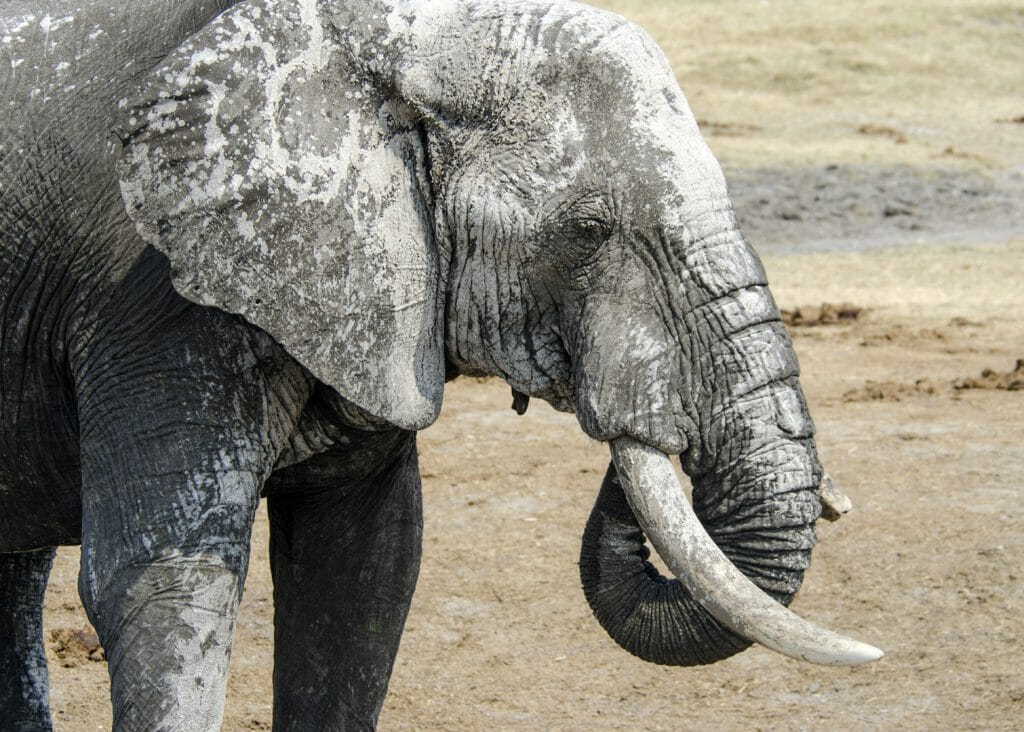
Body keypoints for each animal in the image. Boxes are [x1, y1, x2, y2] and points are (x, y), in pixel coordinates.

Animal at [0, 0, 882, 729]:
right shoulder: (148, 298)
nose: (653, 419)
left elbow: (364, 577)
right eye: (588, 230)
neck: (396, 39)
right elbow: (167, 586)